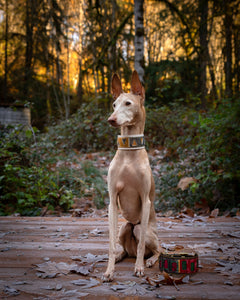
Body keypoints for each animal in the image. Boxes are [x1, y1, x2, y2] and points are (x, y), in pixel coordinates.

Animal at [102, 69, 160, 282]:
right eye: (114, 104)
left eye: (128, 103)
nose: (111, 119)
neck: (129, 152)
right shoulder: (112, 201)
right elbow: (110, 244)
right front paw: (109, 270)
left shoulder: (145, 200)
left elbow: (142, 243)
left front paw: (140, 268)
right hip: (124, 227)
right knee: (126, 248)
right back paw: (121, 256)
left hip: (141, 228)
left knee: (157, 248)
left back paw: (149, 261)